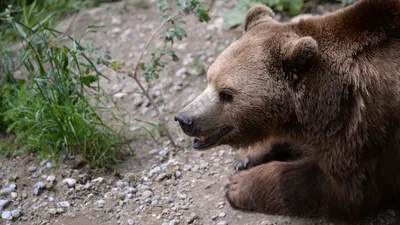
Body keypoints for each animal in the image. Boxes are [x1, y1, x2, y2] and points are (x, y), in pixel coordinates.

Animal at [175, 0, 400, 221]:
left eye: (226, 94)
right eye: (209, 79)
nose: (184, 119)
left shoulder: (365, 130)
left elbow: (339, 190)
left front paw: (237, 185)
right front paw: (244, 158)